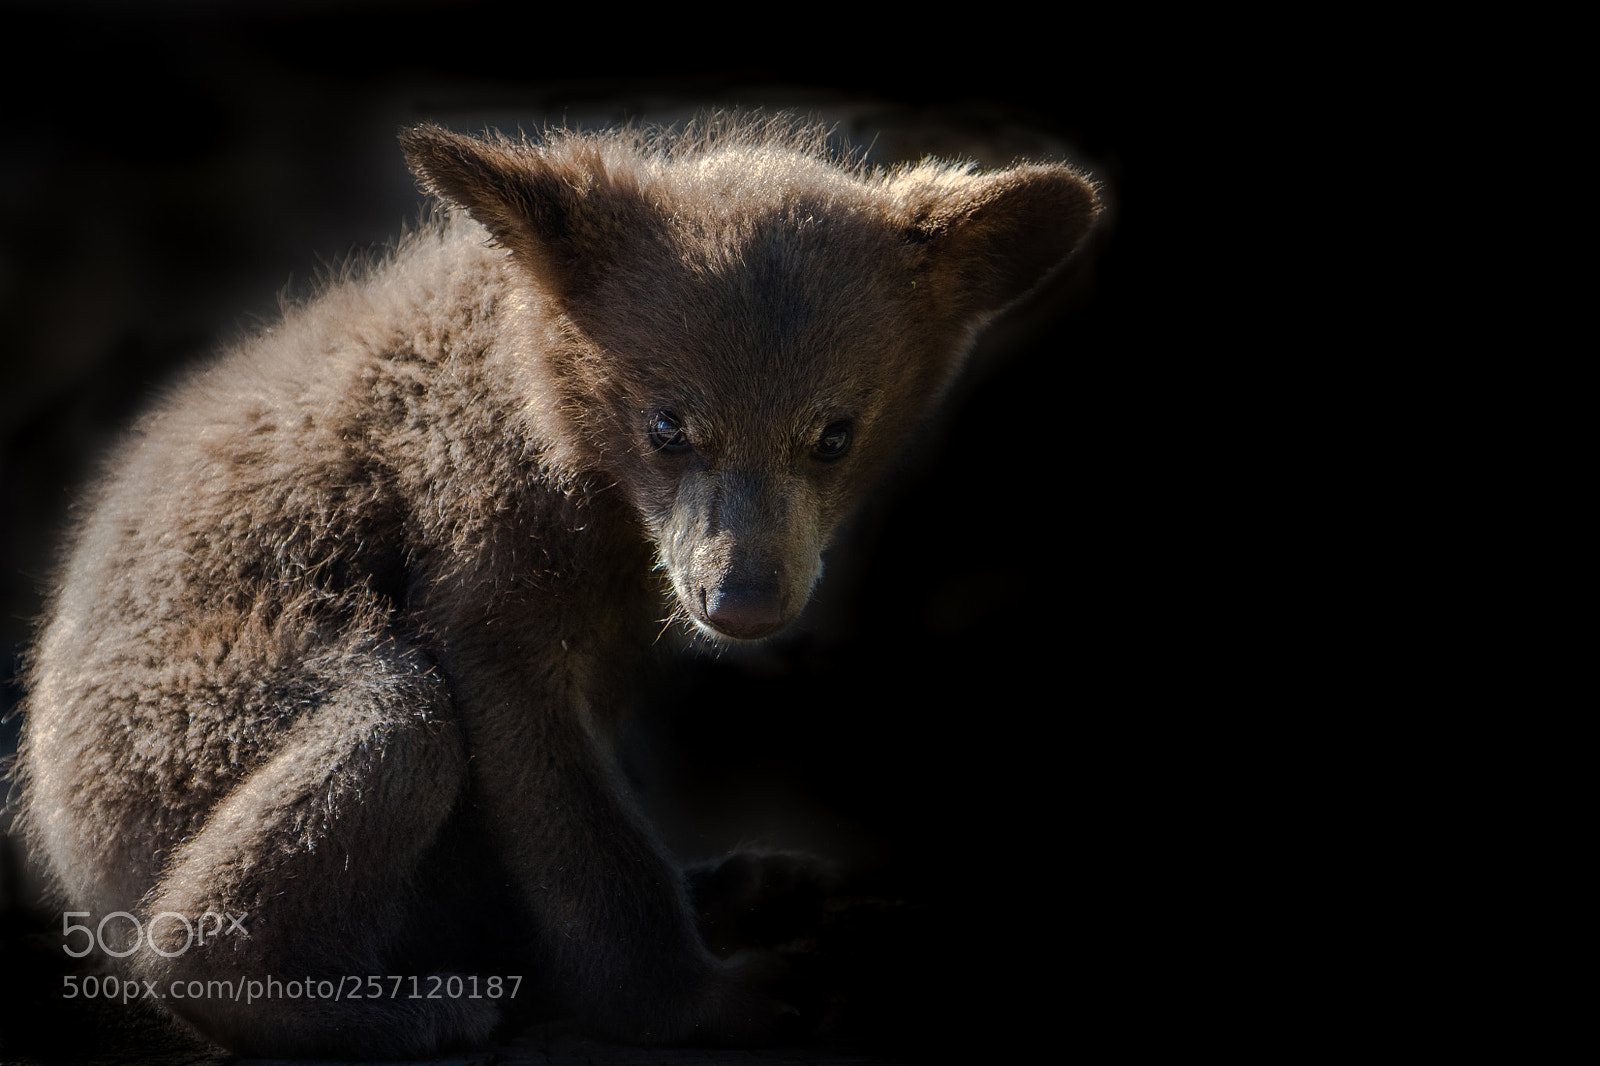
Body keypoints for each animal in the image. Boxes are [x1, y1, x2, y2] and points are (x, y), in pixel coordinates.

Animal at [13, 114, 1100, 1057]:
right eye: (668, 424)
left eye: (834, 434)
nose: (743, 600)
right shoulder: (477, 533)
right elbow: (557, 794)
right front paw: (708, 999)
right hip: (191, 729)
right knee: (388, 735)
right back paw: (388, 1009)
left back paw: (741, 885)